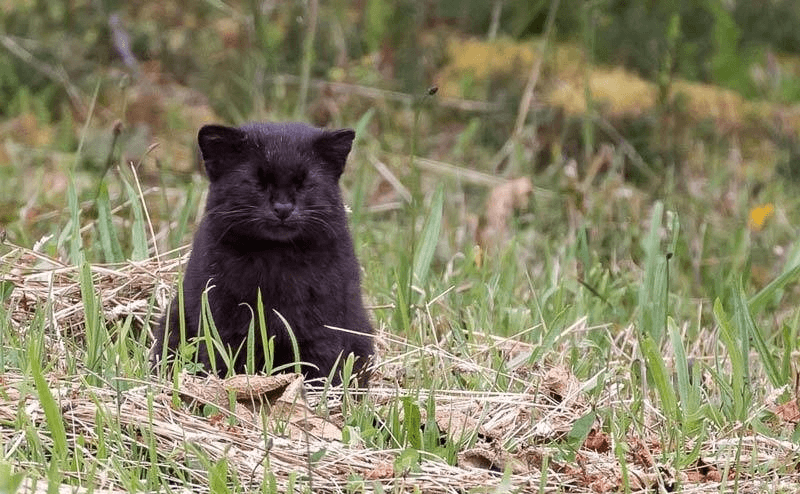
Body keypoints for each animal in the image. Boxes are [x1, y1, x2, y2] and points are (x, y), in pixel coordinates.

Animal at [153, 121, 376, 384]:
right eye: (257, 182)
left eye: (304, 183)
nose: (283, 208)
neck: (276, 256)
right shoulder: (225, 321)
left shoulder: (322, 326)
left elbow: (319, 366)